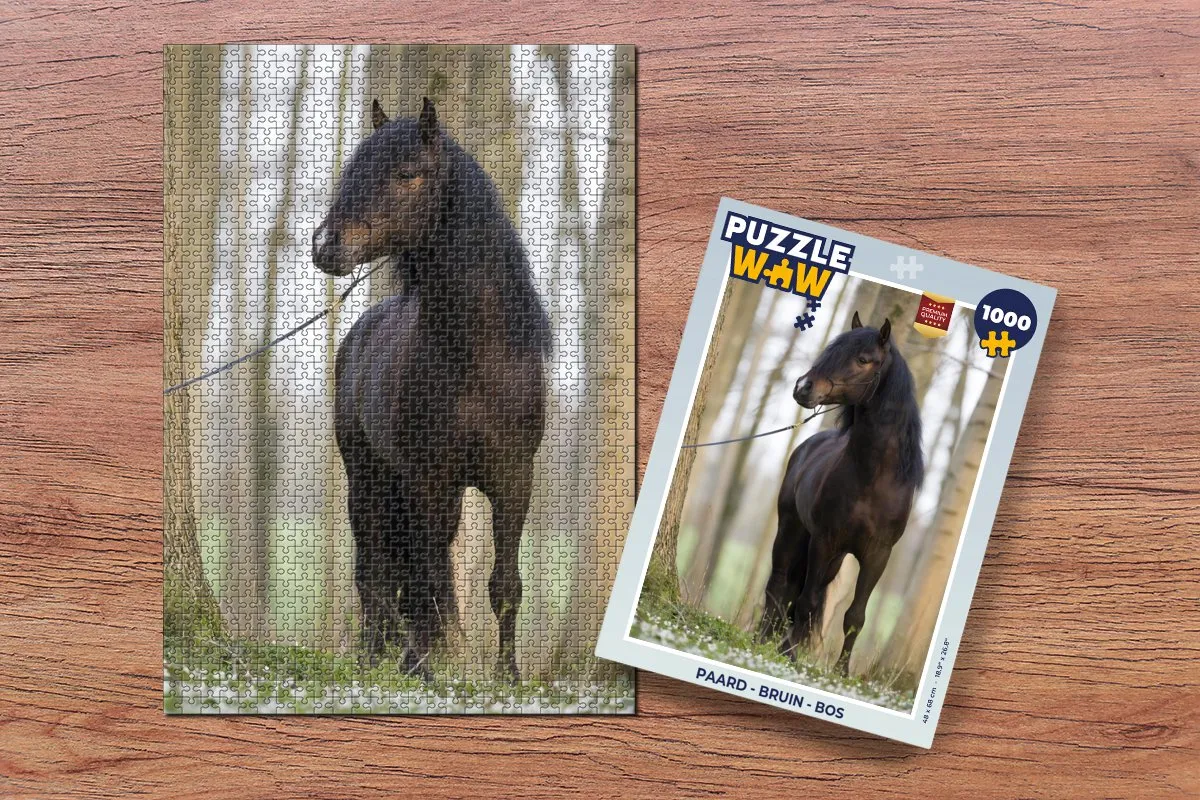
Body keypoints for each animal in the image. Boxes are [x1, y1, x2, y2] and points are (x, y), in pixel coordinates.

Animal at [312, 98, 550, 680]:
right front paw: (418, 665)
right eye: (352, 171)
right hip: (368, 480)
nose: (326, 245)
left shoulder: (514, 479)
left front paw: (508, 676)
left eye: (405, 174)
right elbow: (422, 577)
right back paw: (375, 653)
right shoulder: (429, 480)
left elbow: (504, 585)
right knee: (374, 569)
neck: (477, 358)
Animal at [757, 311, 923, 674]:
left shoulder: (877, 555)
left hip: (834, 557)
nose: (803, 387)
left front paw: (841, 673)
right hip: (792, 530)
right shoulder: (824, 540)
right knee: (779, 584)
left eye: (863, 359)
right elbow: (805, 601)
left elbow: (855, 617)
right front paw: (789, 656)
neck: (871, 479)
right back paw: (762, 640)